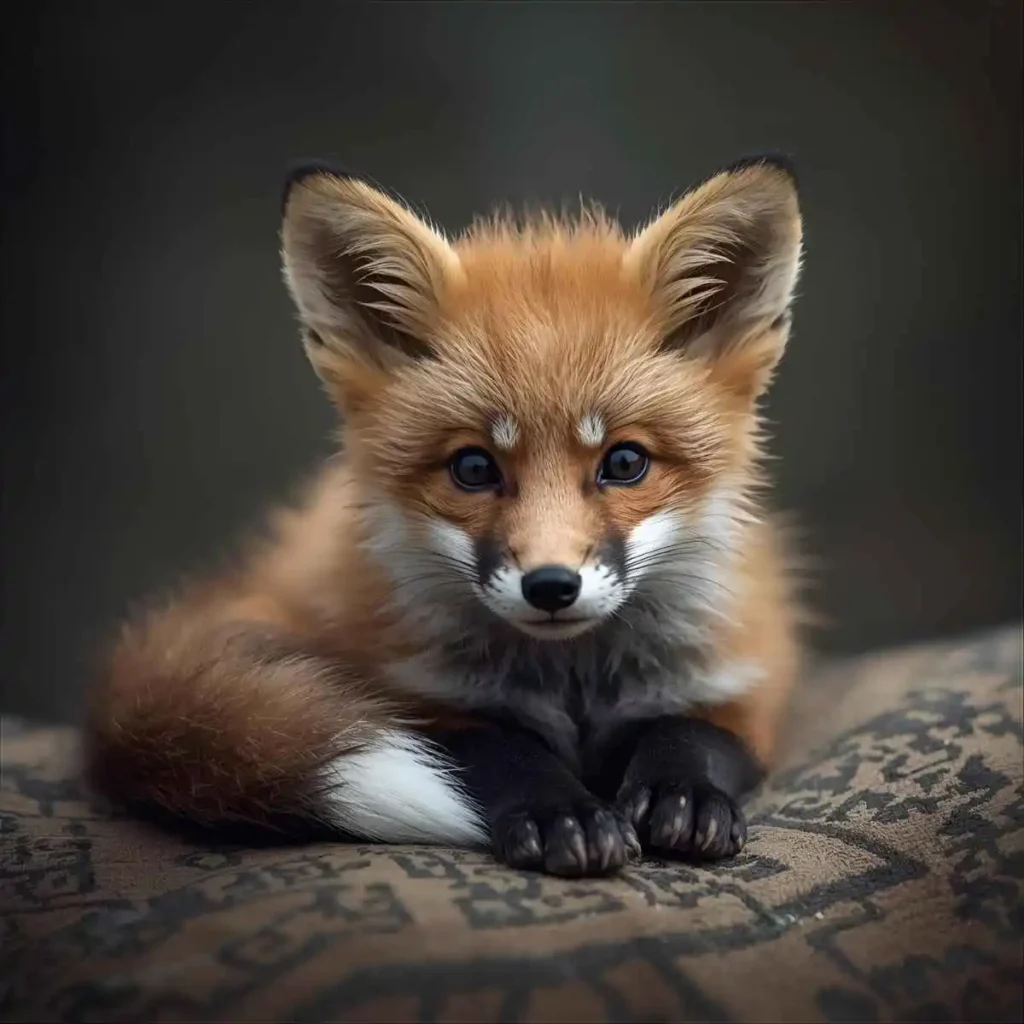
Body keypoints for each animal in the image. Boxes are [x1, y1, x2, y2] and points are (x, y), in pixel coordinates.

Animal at [84, 155, 805, 878]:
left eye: (625, 462)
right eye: (475, 468)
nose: (550, 586)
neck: (574, 687)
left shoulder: (744, 681)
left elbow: (695, 734)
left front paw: (683, 795)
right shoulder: (416, 699)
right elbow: (496, 750)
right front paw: (561, 811)